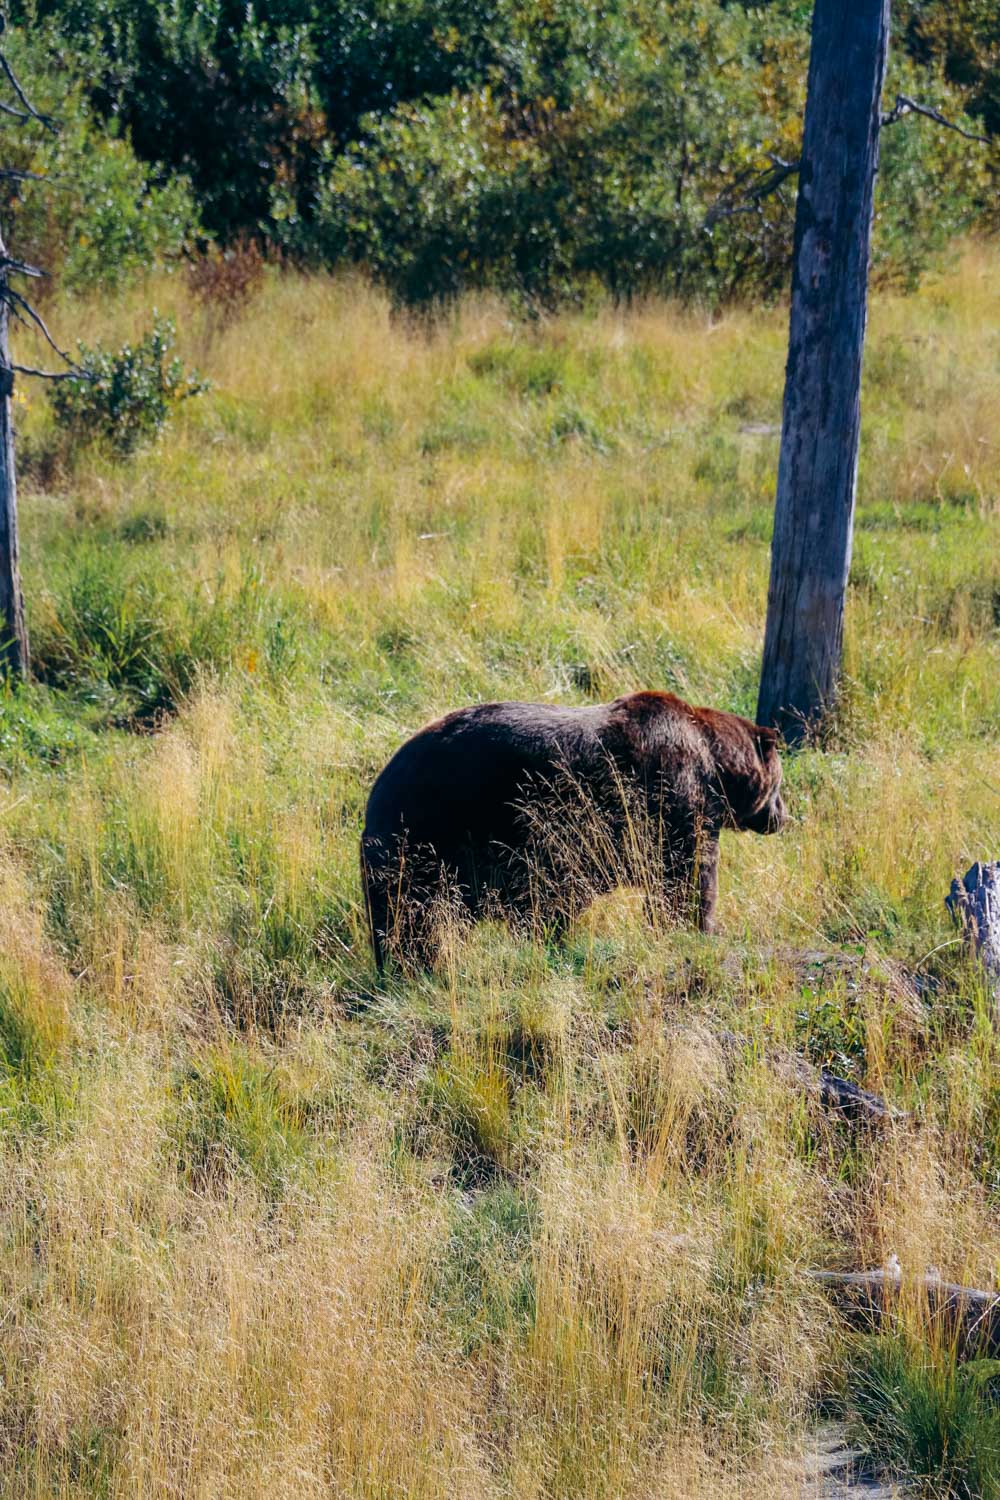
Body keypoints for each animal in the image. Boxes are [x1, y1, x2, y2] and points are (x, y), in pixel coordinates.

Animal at [361, 693, 791, 972]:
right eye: (780, 782)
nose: (782, 816)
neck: (716, 764)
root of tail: (381, 782)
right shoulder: (675, 799)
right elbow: (688, 876)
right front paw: (700, 928)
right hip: (435, 832)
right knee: (410, 914)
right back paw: (412, 963)